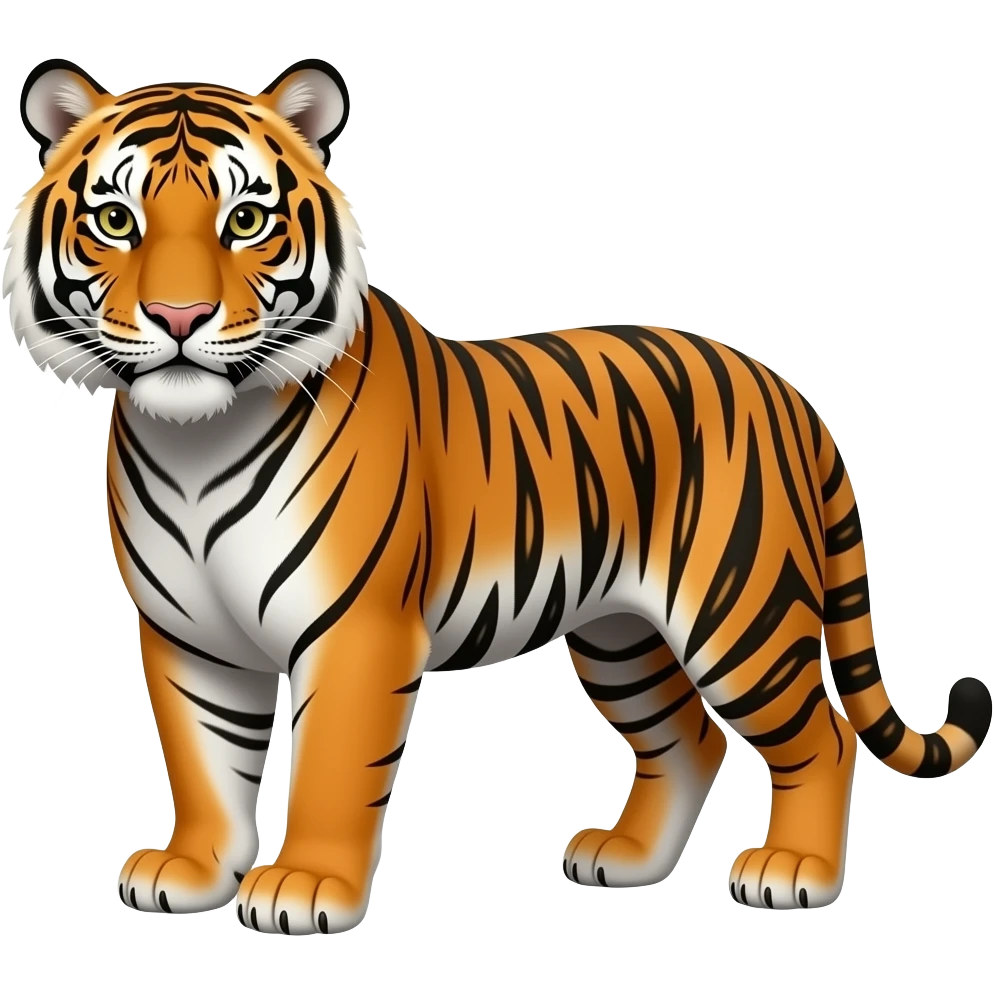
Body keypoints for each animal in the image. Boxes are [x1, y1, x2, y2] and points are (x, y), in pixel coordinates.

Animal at [5, 56, 991, 935]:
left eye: (245, 219)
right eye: (116, 220)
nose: (178, 319)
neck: (197, 441)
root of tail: (784, 389)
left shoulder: (356, 626)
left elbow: (330, 767)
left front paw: (305, 886)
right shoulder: (187, 633)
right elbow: (203, 760)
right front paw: (192, 869)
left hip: (738, 613)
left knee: (823, 738)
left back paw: (796, 873)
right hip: (621, 633)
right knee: (689, 738)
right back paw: (626, 858)